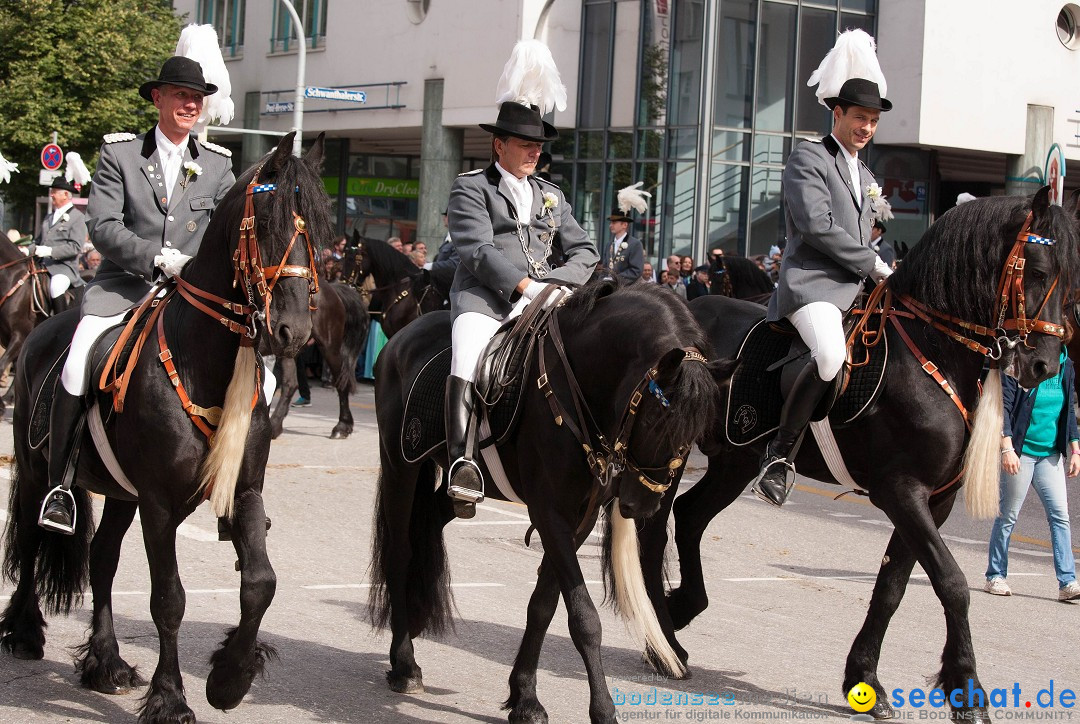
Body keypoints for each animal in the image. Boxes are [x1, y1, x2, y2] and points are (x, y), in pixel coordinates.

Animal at [1, 133, 332, 721]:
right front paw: (170, 696)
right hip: (42, 473)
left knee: (102, 560)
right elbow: (169, 600)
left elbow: (260, 583)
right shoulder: (157, 503)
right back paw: (24, 632)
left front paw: (230, 677)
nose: (293, 332)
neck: (204, 361)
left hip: (120, 493)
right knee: (32, 537)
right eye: (267, 226)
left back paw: (105, 663)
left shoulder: (243, 490)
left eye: (318, 230)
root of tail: (46, 328)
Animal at [267, 283, 369, 443]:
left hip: (329, 347)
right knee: (290, 384)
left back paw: (342, 427)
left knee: (341, 383)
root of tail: (333, 289)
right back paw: (275, 426)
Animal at [367, 283, 730, 724]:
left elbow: (544, 605)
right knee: (400, 553)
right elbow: (584, 618)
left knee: (428, 530)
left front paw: (523, 697)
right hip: (400, 467)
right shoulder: (550, 513)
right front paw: (602, 709)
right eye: (656, 421)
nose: (642, 504)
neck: (580, 386)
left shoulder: (578, 520)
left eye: (697, 430)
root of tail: (401, 334)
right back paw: (404, 663)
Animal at [635, 189, 1075, 724]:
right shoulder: (901, 491)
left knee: (690, 515)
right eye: (1037, 270)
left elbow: (891, 587)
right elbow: (951, 582)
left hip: (734, 461)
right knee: (654, 529)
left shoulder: (935, 501)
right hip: (673, 454)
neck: (934, 353)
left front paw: (865, 680)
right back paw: (662, 642)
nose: (1044, 364)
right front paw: (969, 692)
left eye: (1070, 278)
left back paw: (681, 611)